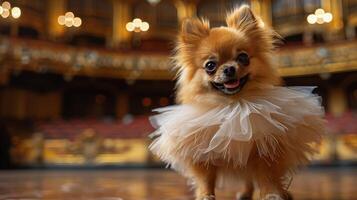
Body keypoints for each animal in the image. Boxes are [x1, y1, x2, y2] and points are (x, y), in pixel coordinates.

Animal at [149, 5, 324, 200]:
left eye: (243, 58)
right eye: (210, 65)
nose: (229, 68)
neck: (233, 106)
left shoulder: (266, 149)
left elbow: (268, 176)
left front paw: (272, 194)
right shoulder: (202, 153)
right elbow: (206, 179)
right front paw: (205, 195)